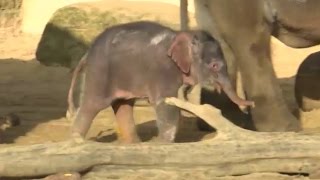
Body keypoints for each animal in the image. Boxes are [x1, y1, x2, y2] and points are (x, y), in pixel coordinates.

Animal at [69, 20, 254, 143]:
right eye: (214, 65)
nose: (251, 103)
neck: (183, 35)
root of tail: (87, 53)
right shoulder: (164, 70)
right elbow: (164, 103)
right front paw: (163, 144)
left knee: (123, 105)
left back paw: (135, 145)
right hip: (99, 72)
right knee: (91, 105)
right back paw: (76, 141)